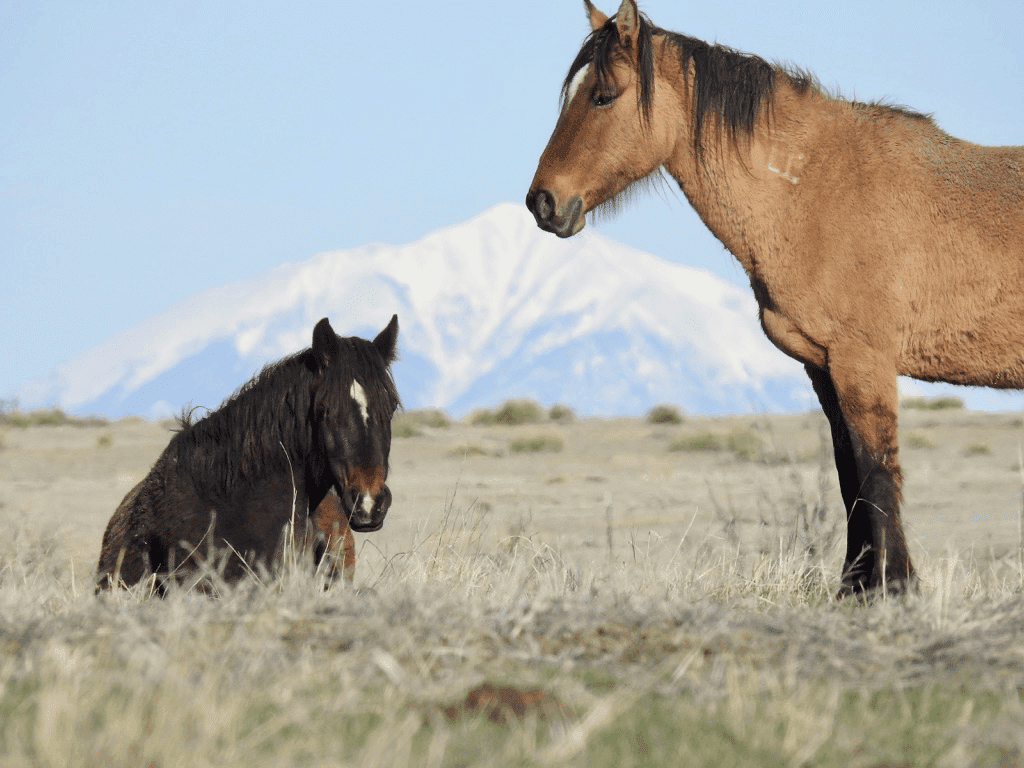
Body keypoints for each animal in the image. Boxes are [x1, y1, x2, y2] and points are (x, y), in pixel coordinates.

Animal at [528, 0, 1024, 598]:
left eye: (604, 95)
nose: (542, 202)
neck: (814, 190)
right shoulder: (823, 367)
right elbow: (849, 477)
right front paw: (855, 589)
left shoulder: (863, 363)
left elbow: (878, 473)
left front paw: (895, 589)